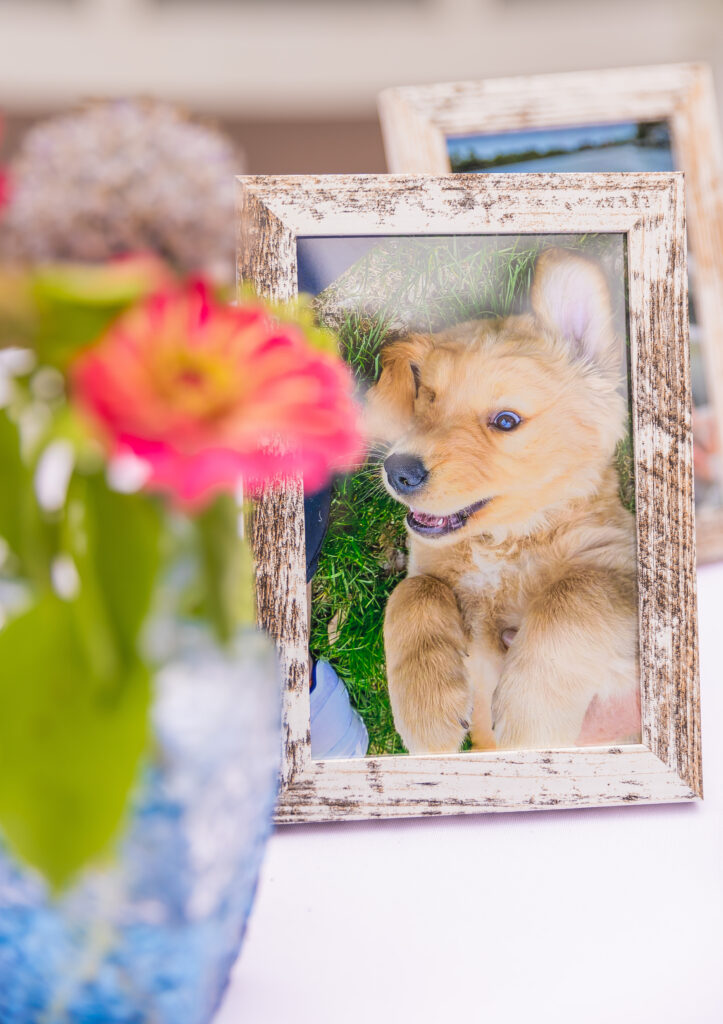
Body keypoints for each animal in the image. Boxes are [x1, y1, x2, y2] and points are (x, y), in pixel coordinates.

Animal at [366, 249, 634, 753]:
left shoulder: (623, 573)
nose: (397, 471)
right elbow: (413, 592)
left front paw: (532, 717)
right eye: (429, 397)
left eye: (506, 421)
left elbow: (577, 591)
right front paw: (427, 712)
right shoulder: (434, 581)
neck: (502, 544)